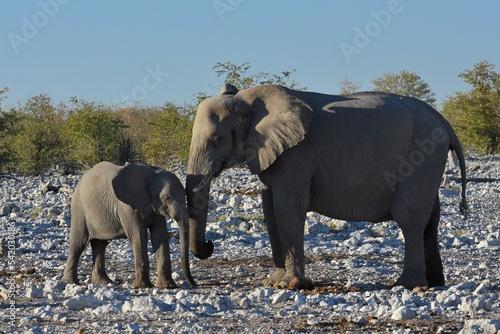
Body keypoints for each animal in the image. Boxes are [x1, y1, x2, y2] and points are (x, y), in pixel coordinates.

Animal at [62, 161, 195, 288]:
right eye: (168, 198)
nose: (194, 284)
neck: (151, 174)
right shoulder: (126, 206)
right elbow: (139, 235)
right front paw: (141, 286)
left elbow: (159, 235)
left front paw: (167, 286)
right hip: (79, 208)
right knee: (79, 243)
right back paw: (71, 282)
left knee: (100, 244)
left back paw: (104, 282)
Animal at [186, 83, 466, 290]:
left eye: (216, 139)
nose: (210, 244)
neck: (246, 99)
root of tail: (446, 124)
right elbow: (270, 210)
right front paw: (273, 282)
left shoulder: (296, 155)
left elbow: (287, 207)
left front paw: (290, 285)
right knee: (431, 220)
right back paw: (435, 283)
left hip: (423, 159)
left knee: (411, 221)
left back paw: (407, 285)